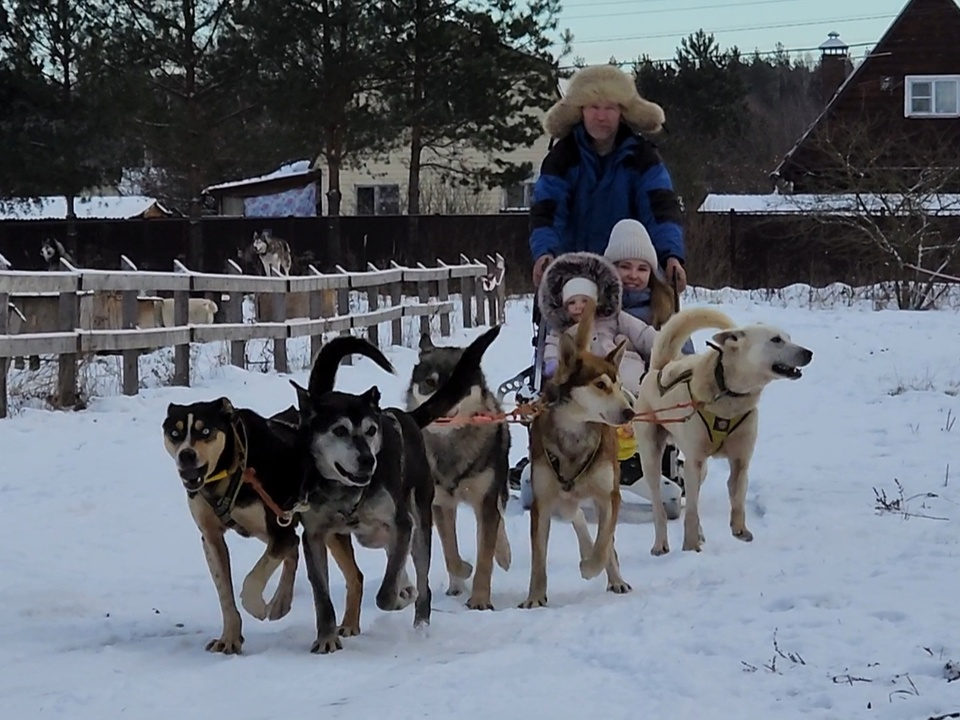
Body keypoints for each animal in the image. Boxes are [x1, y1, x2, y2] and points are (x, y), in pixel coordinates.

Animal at [292, 330, 502, 656]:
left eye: (371, 430)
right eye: (339, 430)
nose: (368, 460)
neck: (347, 491)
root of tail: (407, 417)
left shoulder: (404, 524)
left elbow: (387, 591)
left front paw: (402, 596)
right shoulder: (313, 536)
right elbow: (322, 597)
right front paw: (326, 637)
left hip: (418, 523)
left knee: (419, 575)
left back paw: (420, 618)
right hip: (362, 535)